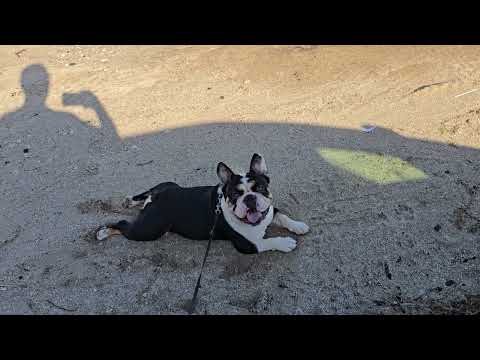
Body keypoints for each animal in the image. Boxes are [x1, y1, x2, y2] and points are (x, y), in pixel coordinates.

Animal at [95, 154, 310, 253]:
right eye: (235, 194)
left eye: (260, 188)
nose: (249, 198)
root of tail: (155, 197)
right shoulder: (248, 245)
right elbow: (268, 242)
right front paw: (285, 242)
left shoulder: (270, 210)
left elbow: (283, 216)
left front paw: (298, 226)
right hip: (150, 230)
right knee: (124, 225)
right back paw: (104, 232)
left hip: (167, 185)